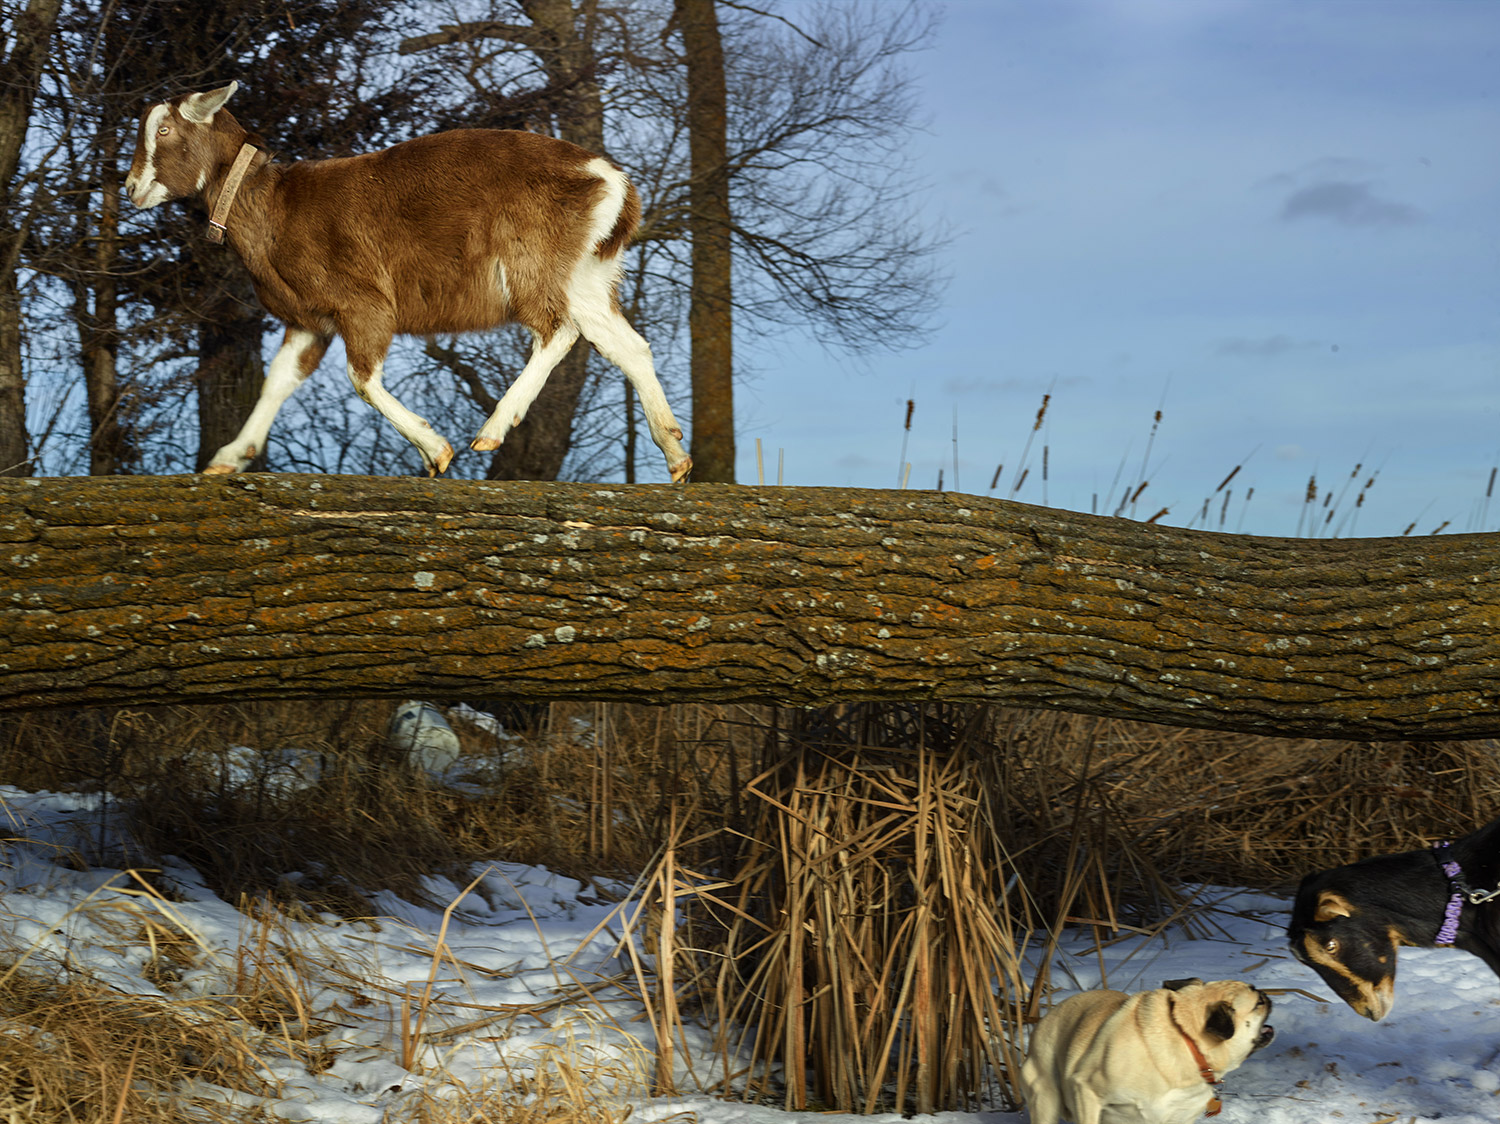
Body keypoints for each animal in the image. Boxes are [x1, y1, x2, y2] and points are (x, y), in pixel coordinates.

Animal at [126, 81, 693, 480]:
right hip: (586, 272)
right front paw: (227, 458)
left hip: (532, 259)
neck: (273, 208)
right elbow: (280, 380)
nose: (131, 187)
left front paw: (435, 450)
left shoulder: (362, 300)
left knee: (557, 329)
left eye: (164, 131)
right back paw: (674, 453)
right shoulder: (309, 318)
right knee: (624, 342)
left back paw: (491, 430)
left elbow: (362, 378)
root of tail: (615, 183)